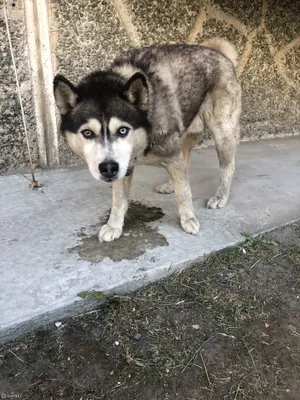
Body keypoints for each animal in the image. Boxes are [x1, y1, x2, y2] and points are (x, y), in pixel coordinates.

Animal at [53, 39, 241, 242]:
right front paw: (114, 225)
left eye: (123, 130)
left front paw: (188, 219)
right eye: (87, 133)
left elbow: (184, 193)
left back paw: (221, 196)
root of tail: (219, 53)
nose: (108, 168)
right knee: (186, 161)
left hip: (222, 132)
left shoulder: (169, 154)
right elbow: (118, 200)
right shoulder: (124, 166)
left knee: (227, 166)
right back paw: (170, 185)